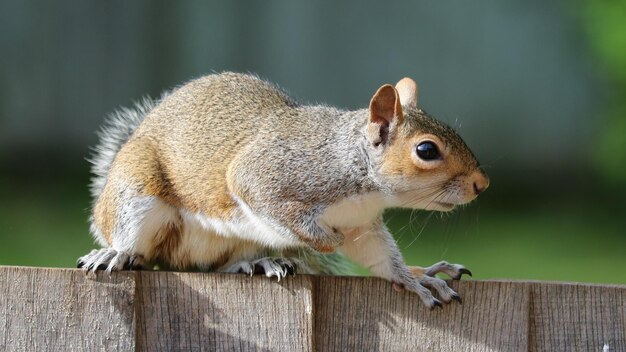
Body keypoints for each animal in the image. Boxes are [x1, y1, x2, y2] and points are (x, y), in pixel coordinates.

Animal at [77, 72, 488, 308]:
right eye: (426, 150)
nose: (481, 184)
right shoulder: (268, 175)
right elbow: (270, 203)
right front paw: (324, 241)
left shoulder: (361, 224)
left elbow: (380, 258)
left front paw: (415, 278)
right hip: (136, 192)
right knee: (139, 245)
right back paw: (116, 253)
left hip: (232, 244)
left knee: (212, 266)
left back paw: (258, 262)